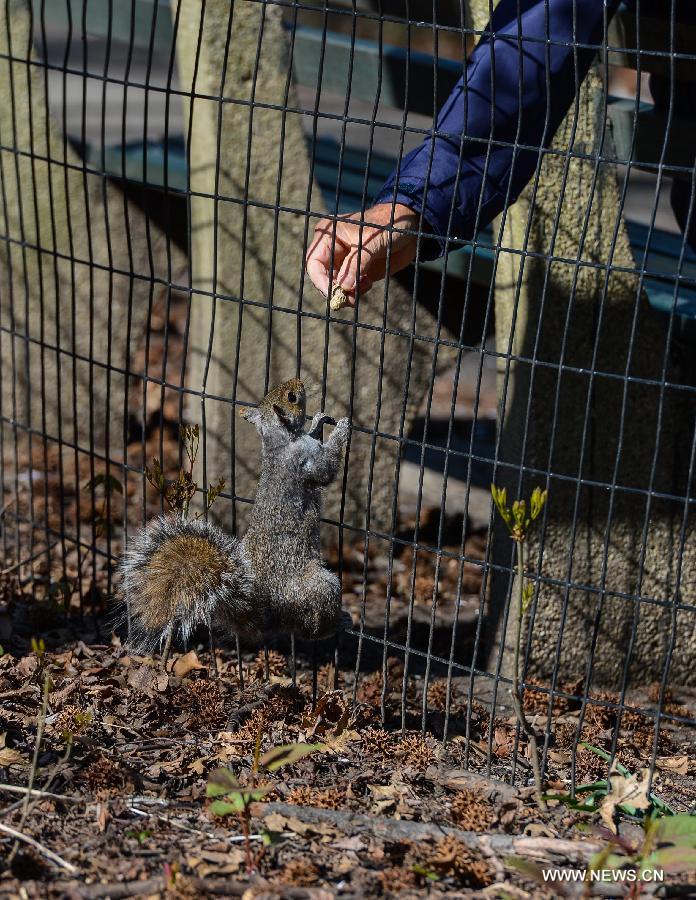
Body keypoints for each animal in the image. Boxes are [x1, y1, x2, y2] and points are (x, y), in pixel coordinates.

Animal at [119, 378, 350, 652]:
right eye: (292, 397)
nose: (299, 381)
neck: (279, 440)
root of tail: (266, 612)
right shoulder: (305, 460)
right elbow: (326, 469)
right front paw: (342, 428)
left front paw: (317, 422)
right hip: (319, 587)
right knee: (310, 628)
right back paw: (336, 624)